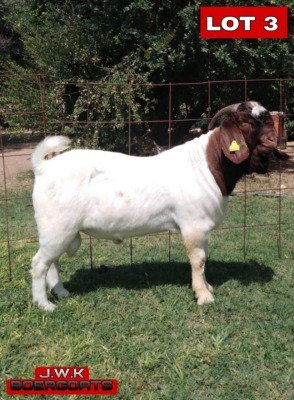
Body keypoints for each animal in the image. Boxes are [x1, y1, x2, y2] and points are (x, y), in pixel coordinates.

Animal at [29, 99, 288, 310]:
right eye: (244, 122)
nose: (272, 140)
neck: (207, 165)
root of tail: (43, 167)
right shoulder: (193, 227)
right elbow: (198, 261)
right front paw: (203, 297)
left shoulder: (202, 228)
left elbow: (204, 259)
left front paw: (207, 287)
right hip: (56, 228)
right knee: (39, 264)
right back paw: (44, 304)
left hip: (61, 232)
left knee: (52, 263)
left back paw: (61, 292)